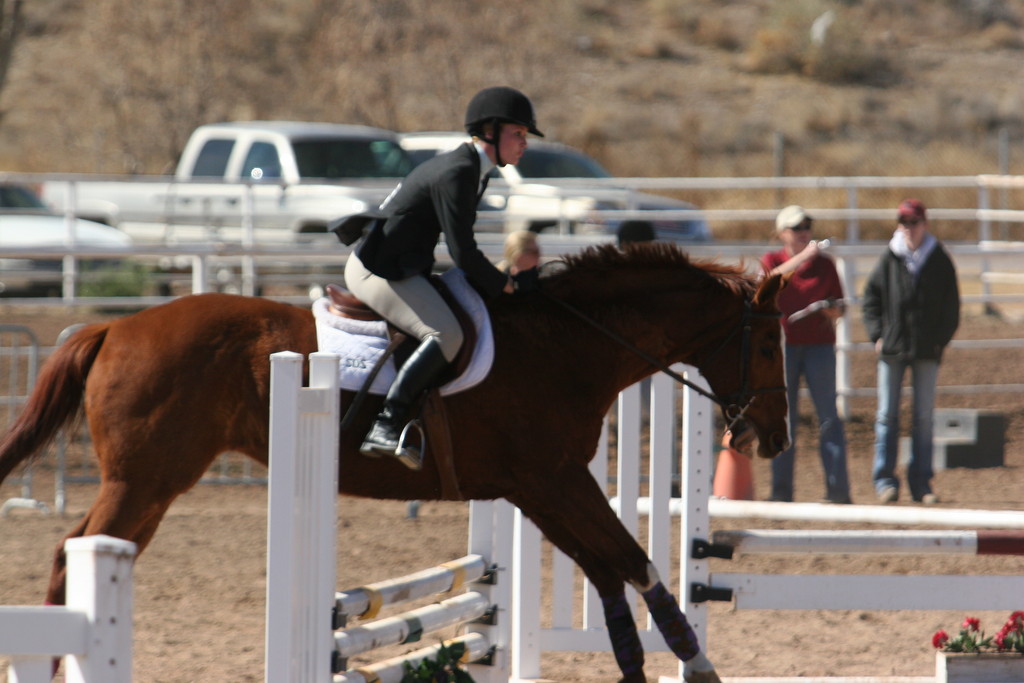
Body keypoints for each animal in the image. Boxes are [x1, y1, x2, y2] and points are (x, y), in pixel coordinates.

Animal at [0, 241, 786, 683]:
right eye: (770, 347)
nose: (772, 441)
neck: (570, 344)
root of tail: (114, 327)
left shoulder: (537, 490)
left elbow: (611, 572)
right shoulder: (555, 480)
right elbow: (632, 562)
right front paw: (699, 664)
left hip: (154, 483)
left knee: (84, 551)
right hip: (145, 479)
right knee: (75, 552)